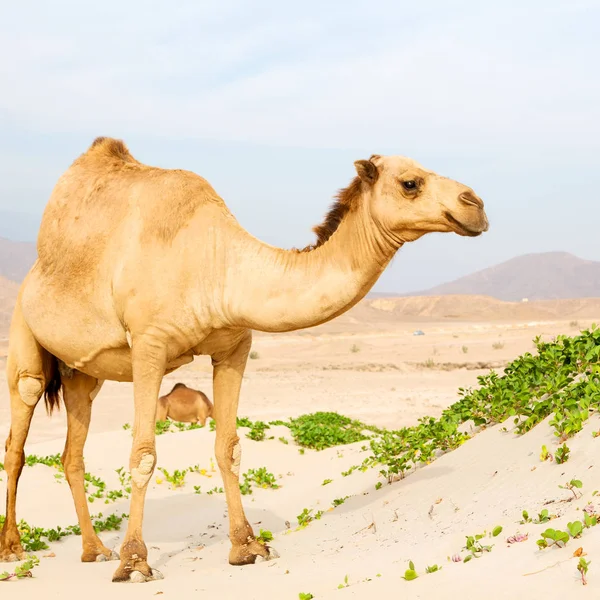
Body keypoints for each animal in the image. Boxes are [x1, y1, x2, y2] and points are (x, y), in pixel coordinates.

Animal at [0, 137, 488, 580]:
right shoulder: (149, 345)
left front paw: (247, 547)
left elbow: (229, 448)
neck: (220, 268)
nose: (477, 204)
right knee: (18, 437)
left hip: (81, 371)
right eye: (410, 183)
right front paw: (135, 562)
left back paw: (93, 549)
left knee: (72, 452)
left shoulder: (234, 346)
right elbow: (143, 455)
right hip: (25, 331)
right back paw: (15, 548)